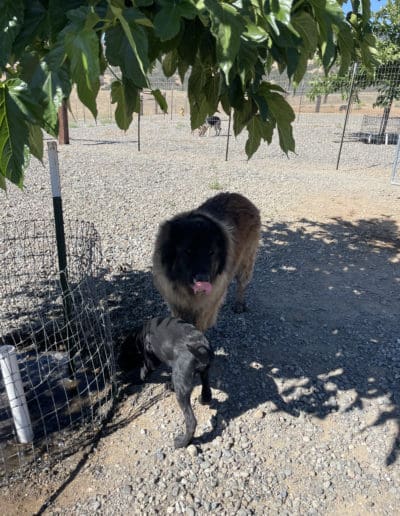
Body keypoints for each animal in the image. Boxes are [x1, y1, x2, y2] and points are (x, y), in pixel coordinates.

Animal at [118, 316, 214, 446]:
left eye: (124, 352)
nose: (118, 366)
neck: (141, 334)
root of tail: (202, 350)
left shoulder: (150, 362)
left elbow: (142, 374)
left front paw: (127, 380)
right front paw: (170, 385)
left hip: (182, 389)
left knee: (191, 421)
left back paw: (182, 442)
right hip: (202, 373)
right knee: (207, 391)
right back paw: (203, 399)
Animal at [152, 192, 260, 330]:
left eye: (211, 252)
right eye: (188, 251)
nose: (203, 279)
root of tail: (240, 196)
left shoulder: (206, 308)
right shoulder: (176, 303)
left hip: (246, 260)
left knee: (242, 283)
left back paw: (239, 304)